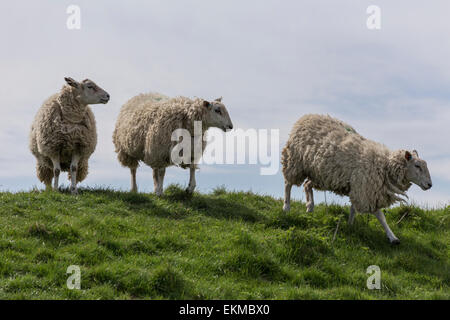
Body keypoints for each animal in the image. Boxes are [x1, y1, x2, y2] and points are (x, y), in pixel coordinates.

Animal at [282, 114, 432, 244]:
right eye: (417, 166)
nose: (430, 185)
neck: (385, 166)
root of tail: (307, 116)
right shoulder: (366, 191)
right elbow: (380, 216)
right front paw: (392, 237)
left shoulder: (359, 187)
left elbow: (353, 209)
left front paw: (350, 225)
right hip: (295, 162)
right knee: (288, 184)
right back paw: (286, 207)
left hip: (319, 174)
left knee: (307, 185)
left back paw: (310, 207)